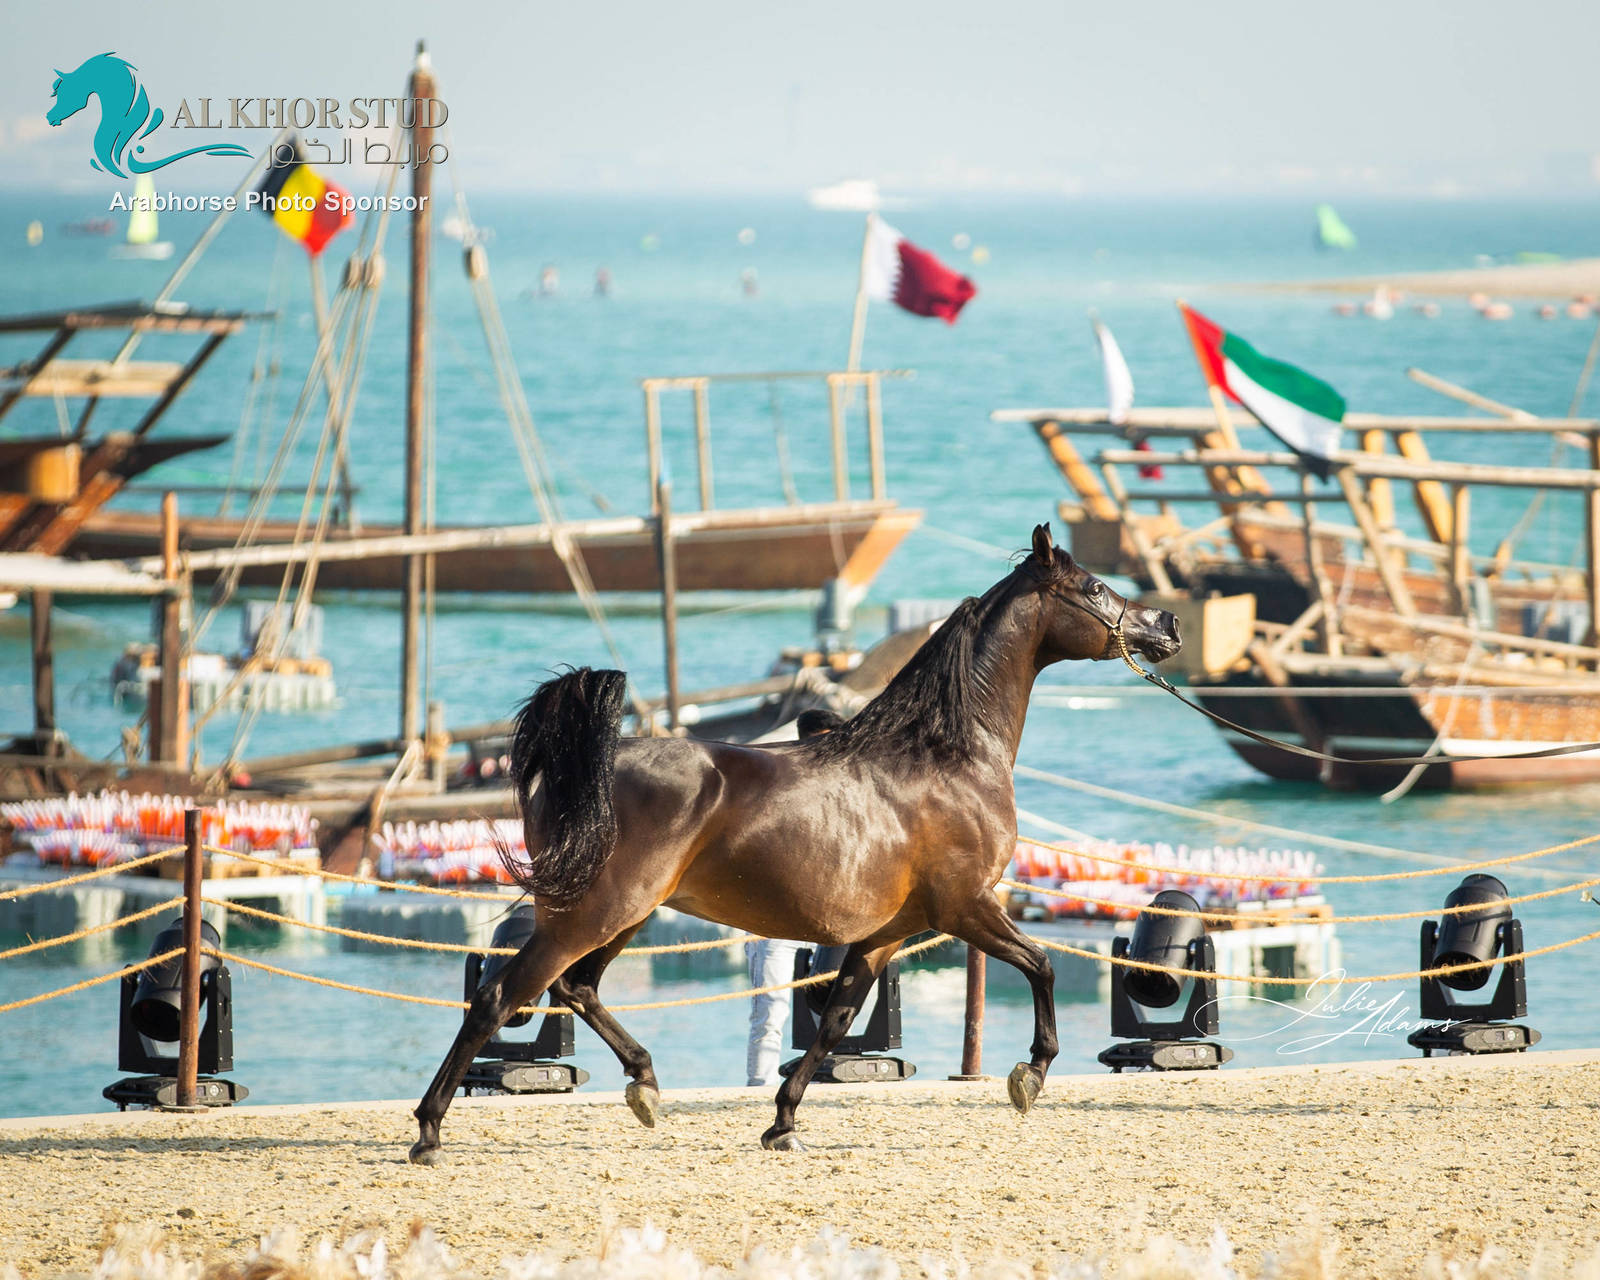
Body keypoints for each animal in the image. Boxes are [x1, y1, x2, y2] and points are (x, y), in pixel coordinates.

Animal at [409, 523, 1180, 1164]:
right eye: (1094, 587)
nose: (1166, 625)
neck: (944, 756)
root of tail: (586, 767)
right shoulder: (966, 907)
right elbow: (1042, 965)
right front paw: (1030, 1075)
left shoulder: (884, 935)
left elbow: (835, 1021)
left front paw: (782, 1123)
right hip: (594, 913)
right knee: (500, 996)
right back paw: (429, 1130)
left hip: (619, 915)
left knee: (575, 986)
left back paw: (646, 1086)